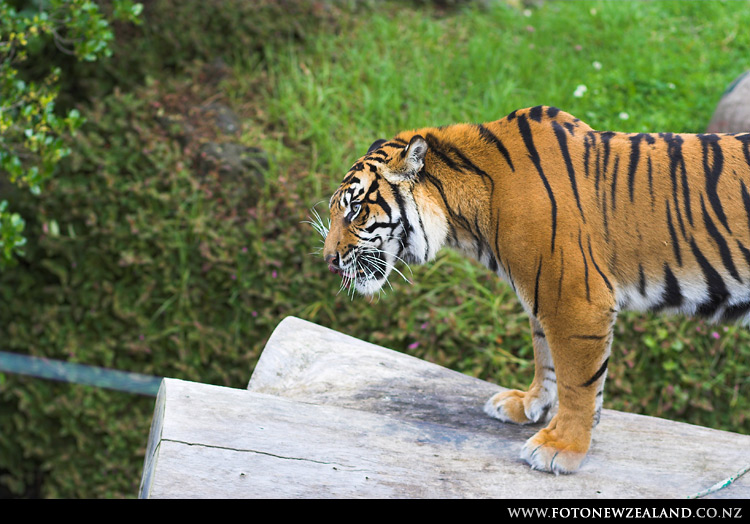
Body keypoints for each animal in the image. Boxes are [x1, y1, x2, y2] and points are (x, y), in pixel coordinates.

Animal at [317, 105, 750, 474]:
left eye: (355, 210)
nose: (329, 260)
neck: (466, 215)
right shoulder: (543, 291)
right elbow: (547, 359)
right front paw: (529, 405)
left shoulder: (574, 300)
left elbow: (578, 381)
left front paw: (562, 447)